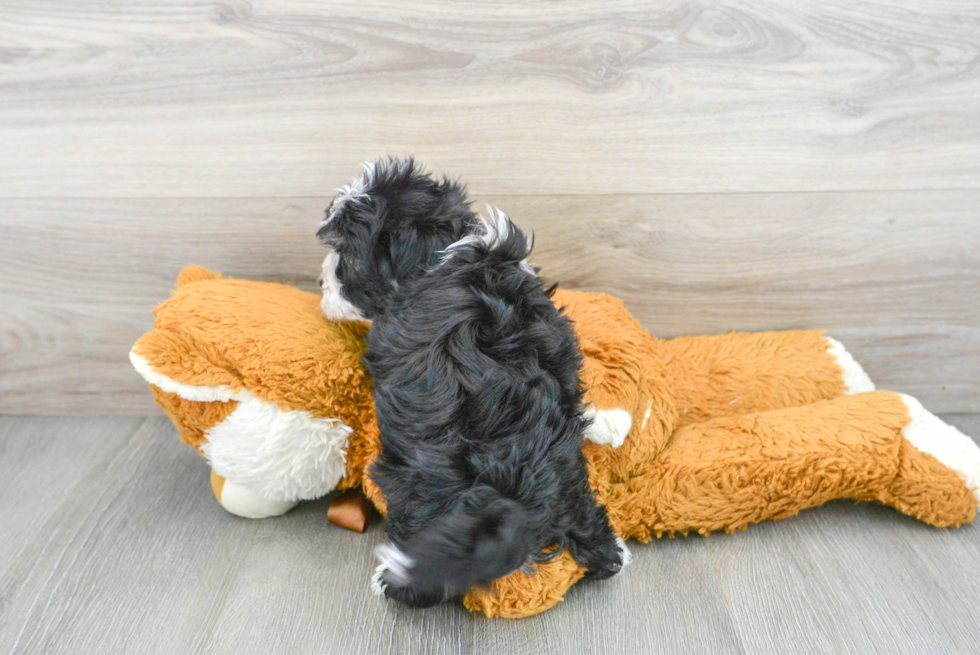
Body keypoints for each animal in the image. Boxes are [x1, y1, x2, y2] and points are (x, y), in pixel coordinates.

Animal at [318, 159, 632, 608]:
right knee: (586, 515)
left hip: (413, 486)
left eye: (347, 257)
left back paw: (390, 579)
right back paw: (613, 553)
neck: (438, 251)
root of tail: (511, 483)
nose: (321, 284)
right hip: (569, 473)